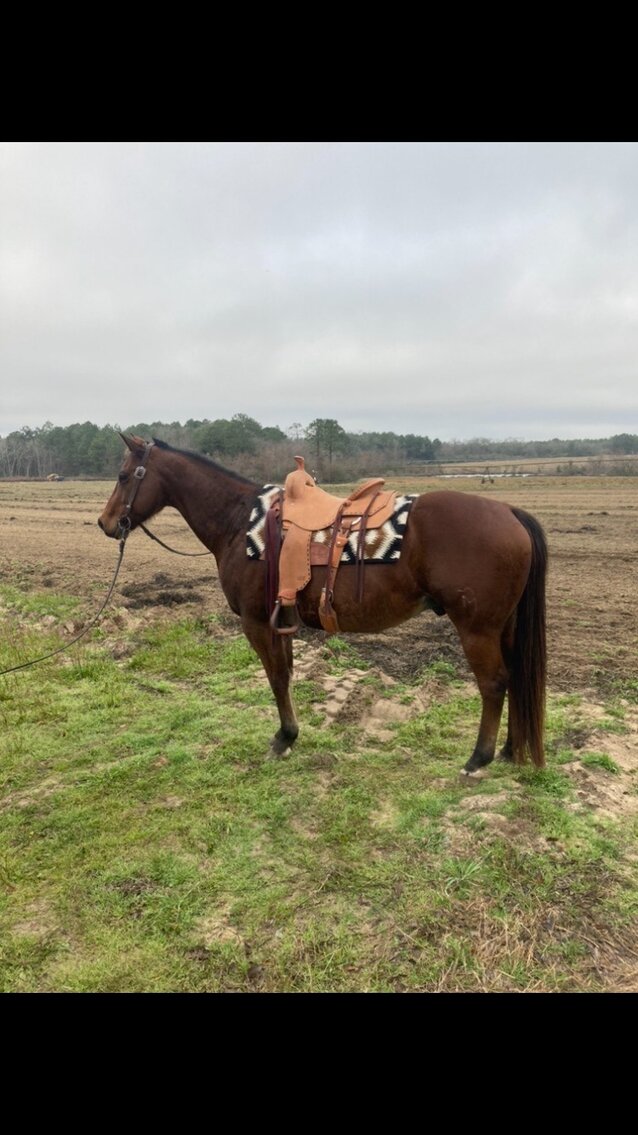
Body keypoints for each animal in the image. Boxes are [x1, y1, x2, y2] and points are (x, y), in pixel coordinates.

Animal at [98, 434, 548, 777]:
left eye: (122, 475)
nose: (105, 523)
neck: (238, 521)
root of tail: (510, 512)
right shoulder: (280, 621)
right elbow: (286, 674)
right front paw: (290, 734)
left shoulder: (256, 622)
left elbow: (276, 677)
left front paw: (284, 738)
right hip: (504, 627)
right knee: (515, 678)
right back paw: (510, 750)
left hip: (477, 629)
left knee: (494, 684)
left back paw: (478, 759)